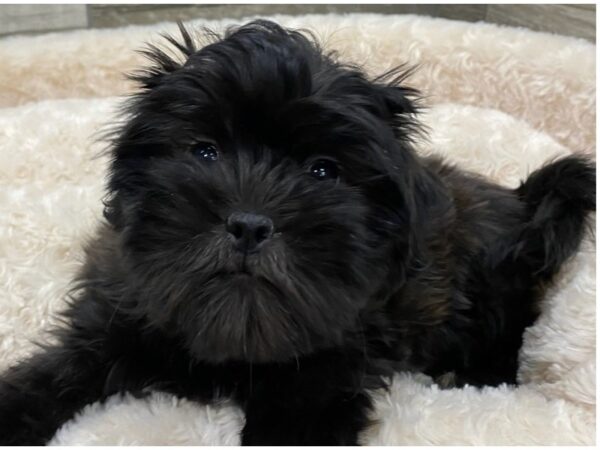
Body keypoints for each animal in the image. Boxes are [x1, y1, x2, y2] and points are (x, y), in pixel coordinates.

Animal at [0, 19, 596, 444]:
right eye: (204, 152)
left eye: (323, 171)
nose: (249, 223)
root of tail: (521, 199)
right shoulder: (115, 310)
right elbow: (61, 368)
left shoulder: (330, 373)